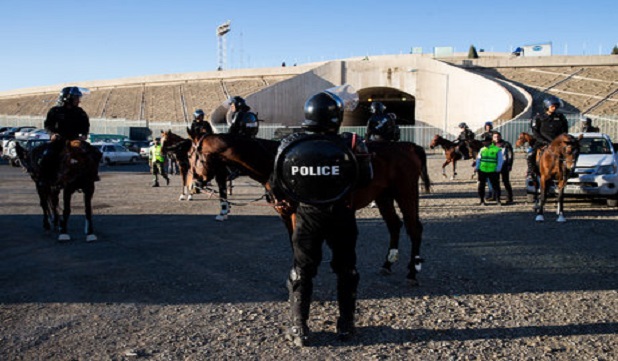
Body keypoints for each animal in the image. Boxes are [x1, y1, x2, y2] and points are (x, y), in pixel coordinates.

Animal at [188, 132, 428, 284]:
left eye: (191, 155)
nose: (195, 183)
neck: (275, 161)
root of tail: (407, 146)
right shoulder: (285, 213)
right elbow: (293, 242)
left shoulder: (297, 213)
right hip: (384, 197)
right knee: (394, 225)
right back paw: (388, 264)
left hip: (406, 193)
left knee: (414, 228)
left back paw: (413, 271)